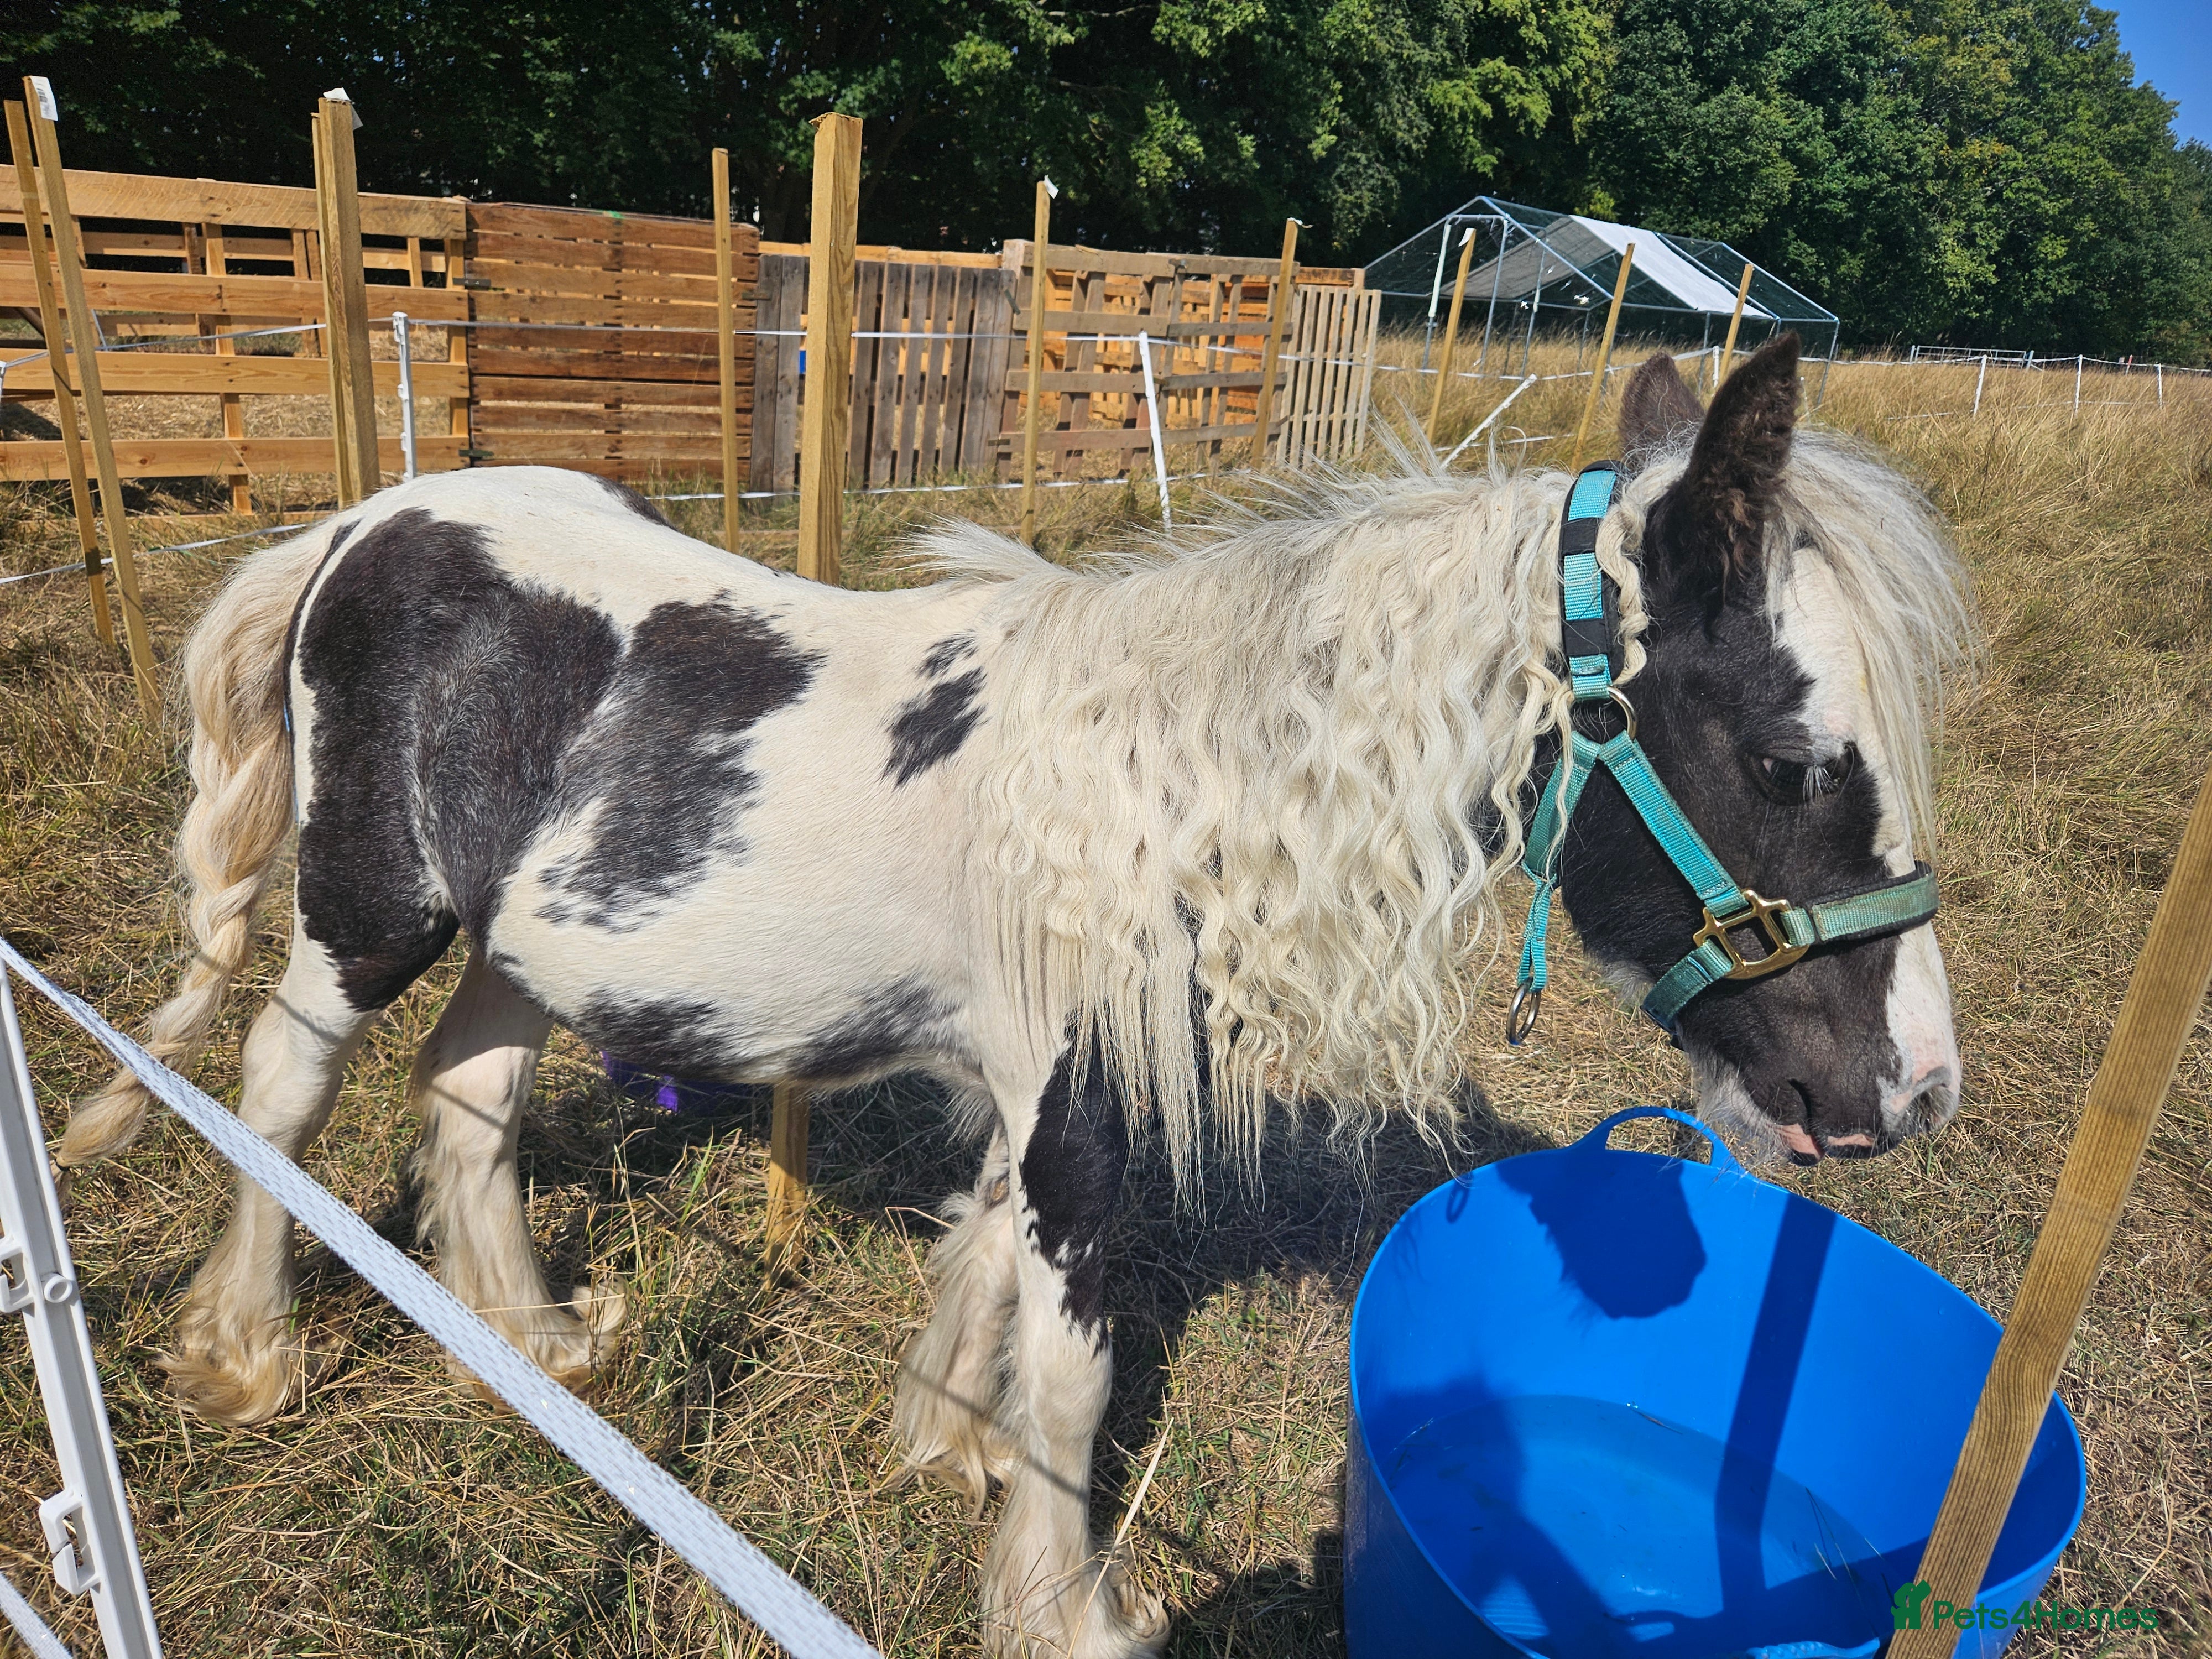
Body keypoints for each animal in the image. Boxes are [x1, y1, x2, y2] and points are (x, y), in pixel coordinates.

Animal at [62, 336, 1968, 1657]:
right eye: (1792, 760)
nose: (1904, 1093)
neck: (1188, 797)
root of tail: (363, 521)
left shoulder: (1039, 1097)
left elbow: (982, 1275)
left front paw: (948, 1456)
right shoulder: (1081, 1122)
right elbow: (1072, 1374)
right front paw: (1066, 1603)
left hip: (527, 943)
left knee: (469, 1100)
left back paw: (530, 1340)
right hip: (367, 919)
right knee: (280, 1087)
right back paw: (244, 1357)